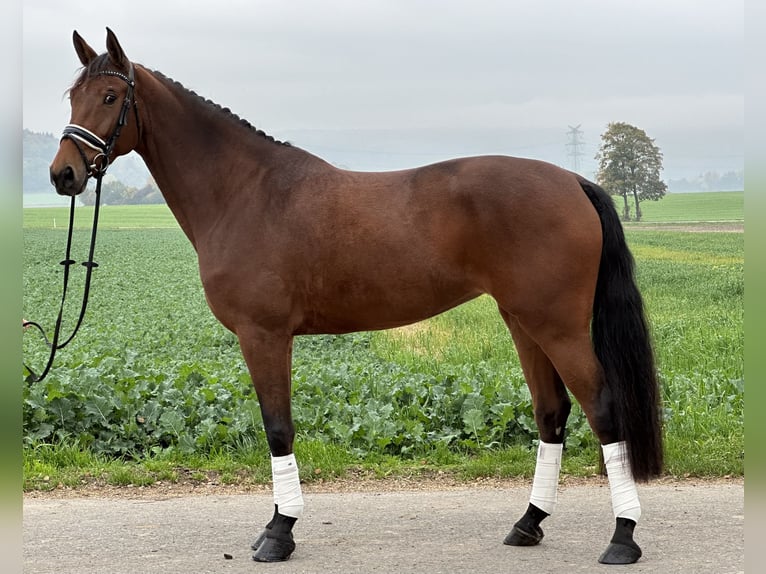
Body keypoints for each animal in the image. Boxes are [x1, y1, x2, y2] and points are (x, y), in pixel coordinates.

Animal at [51, 29, 664, 564]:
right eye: (73, 95)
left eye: (110, 96)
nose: (64, 174)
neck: (245, 192)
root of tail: (572, 181)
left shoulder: (263, 335)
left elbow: (278, 427)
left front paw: (279, 533)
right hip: (523, 320)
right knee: (551, 412)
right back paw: (528, 523)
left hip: (558, 326)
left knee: (602, 409)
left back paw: (622, 538)